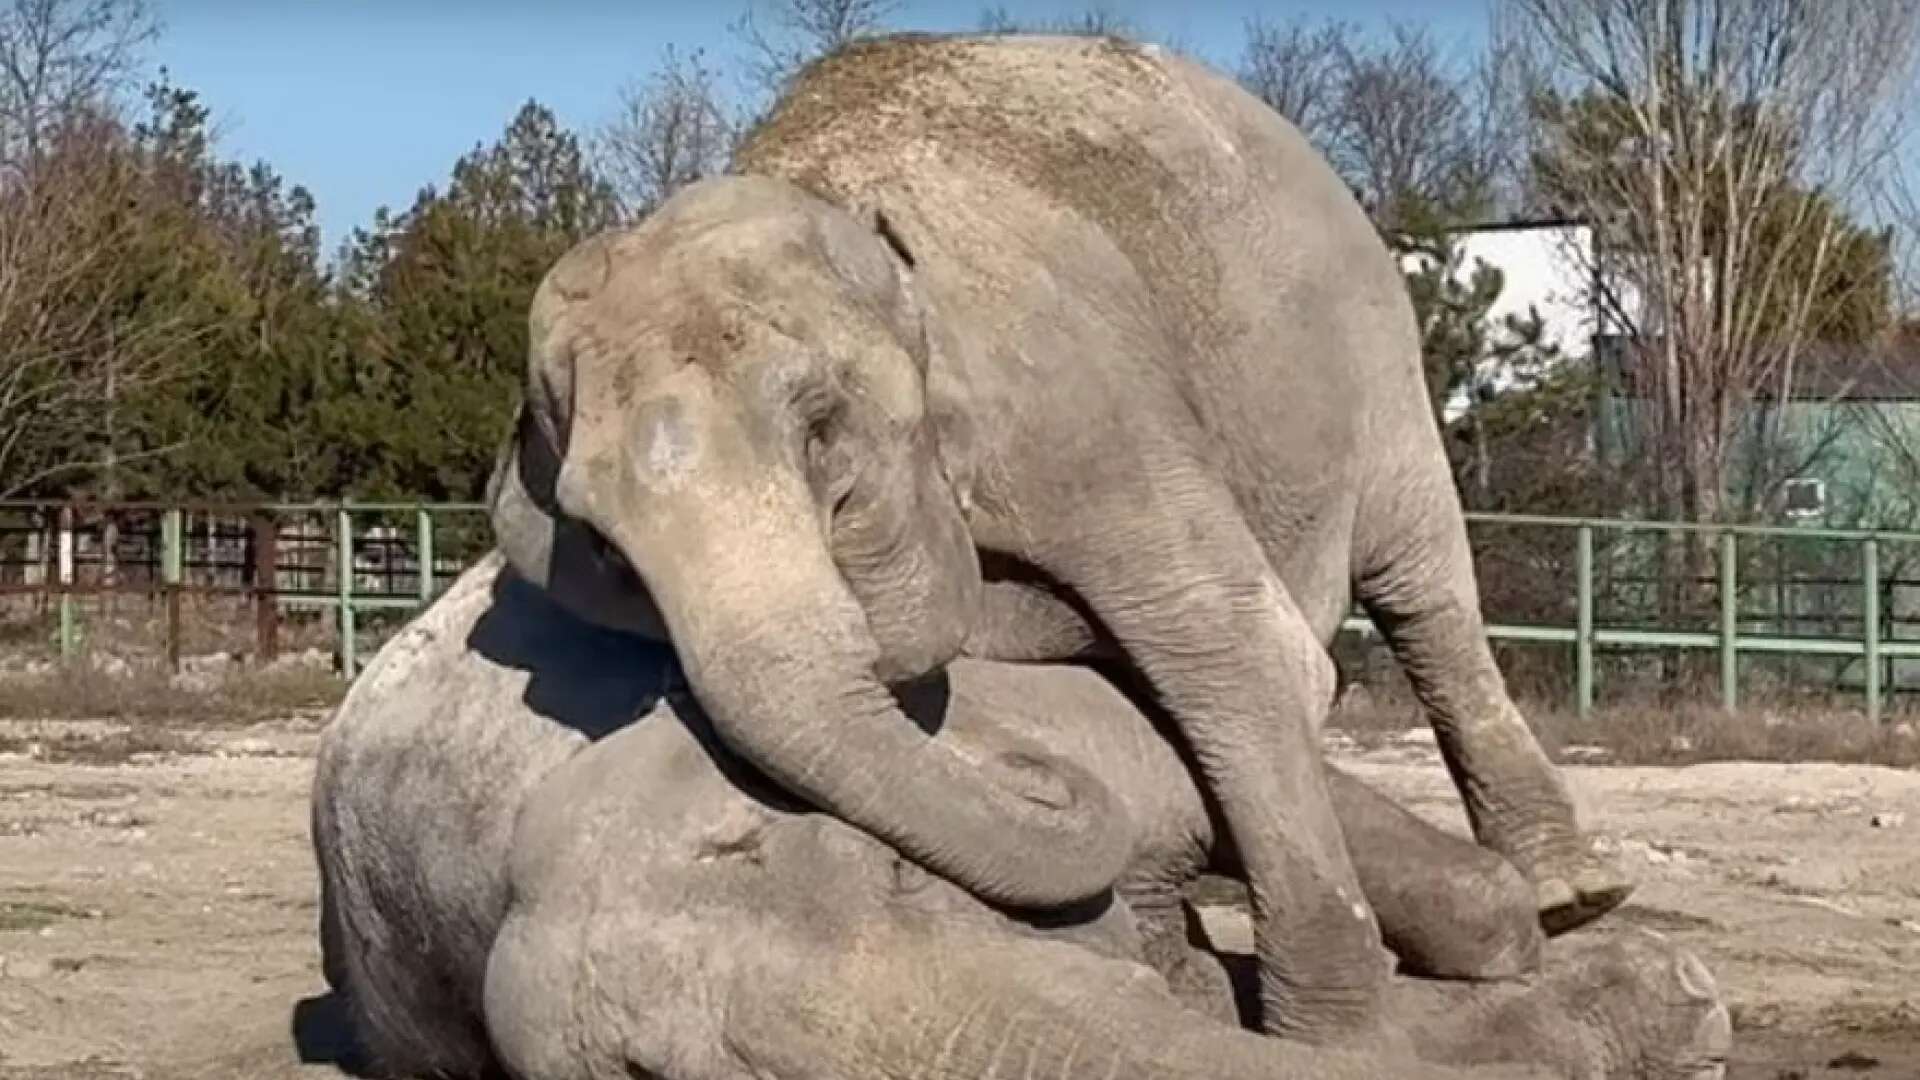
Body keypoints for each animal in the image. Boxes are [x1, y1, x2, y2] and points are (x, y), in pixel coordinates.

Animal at [487, 33, 1628, 1037]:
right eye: (600, 543)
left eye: (820, 430)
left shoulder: (1089, 419)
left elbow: (1243, 653)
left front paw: (1329, 1035)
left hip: (1379, 365)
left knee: (1424, 586)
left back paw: (1573, 896)